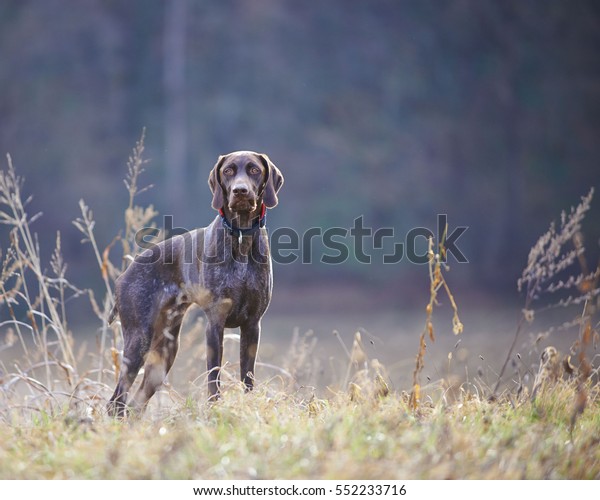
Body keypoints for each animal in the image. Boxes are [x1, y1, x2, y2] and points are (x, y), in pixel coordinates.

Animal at [107, 150, 284, 416]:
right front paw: (214, 408)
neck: (240, 237)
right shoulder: (215, 323)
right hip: (138, 341)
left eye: (254, 170)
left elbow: (248, 377)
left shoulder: (252, 325)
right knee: (116, 401)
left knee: (135, 403)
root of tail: (124, 275)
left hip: (164, 354)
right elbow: (213, 377)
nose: (240, 191)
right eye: (228, 171)